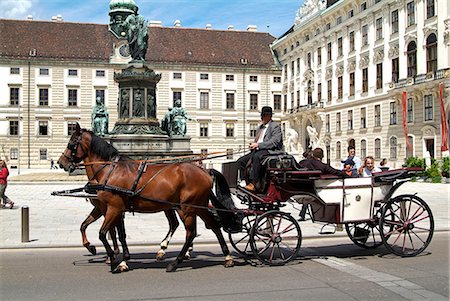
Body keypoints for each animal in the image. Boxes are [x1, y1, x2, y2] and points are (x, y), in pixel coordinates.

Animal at [58, 122, 237, 272]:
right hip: (197, 206)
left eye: (71, 143)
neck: (110, 170)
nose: (61, 163)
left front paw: (113, 259)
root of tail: (204, 170)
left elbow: (103, 233)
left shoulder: (113, 208)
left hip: (187, 208)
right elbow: (115, 233)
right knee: (213, 226)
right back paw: (226, 256)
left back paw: (175, 261)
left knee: (190, 233)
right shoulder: (115, 209)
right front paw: (122, 259)